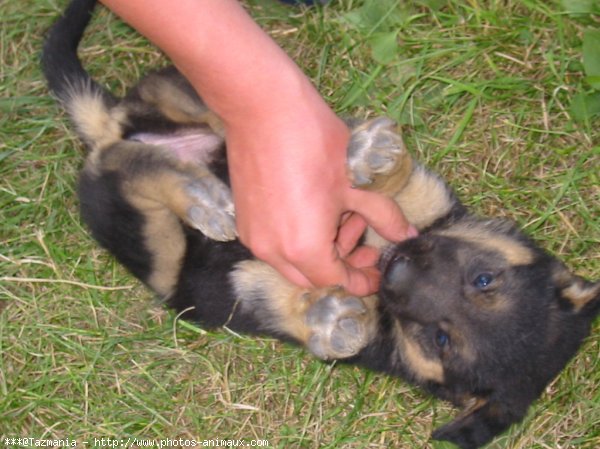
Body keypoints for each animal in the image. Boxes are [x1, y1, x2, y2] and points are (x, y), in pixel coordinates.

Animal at [43, 0, 600, 448]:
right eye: (484, 279)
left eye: (440, 339)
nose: (394, 269)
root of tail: (112, 127)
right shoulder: (432, 209)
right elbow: (405, 192)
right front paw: (377, 158)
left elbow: (292, 303)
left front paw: (333, 319)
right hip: (184, 97)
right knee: (220, 115)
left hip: (159, 251)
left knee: (126, 165)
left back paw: (203, 198)